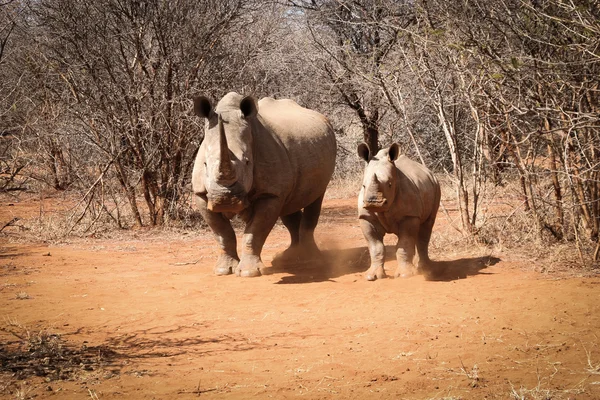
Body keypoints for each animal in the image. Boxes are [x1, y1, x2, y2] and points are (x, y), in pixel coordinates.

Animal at [191, 92, 336, 276]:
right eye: (205, 164)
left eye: (247, 162)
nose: (225, 201)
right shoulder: (201, 194)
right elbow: (222, 233)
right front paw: (224, 270)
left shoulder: (270, 193)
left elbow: (255, 231)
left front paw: (249, 273)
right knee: (289, 204)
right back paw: (288, 257)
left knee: (315, 198)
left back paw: (310, 259)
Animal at [356, 144, 440, 282]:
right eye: (363, 186)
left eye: (390, 184)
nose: (374, 202)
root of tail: (429, 172)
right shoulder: (366, 217)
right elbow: (376, 247)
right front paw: (372, 276)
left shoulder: (409, 215)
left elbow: (404, 244)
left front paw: (405, 275)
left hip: (436, 185)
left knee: (426, 227)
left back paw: (424, 269)